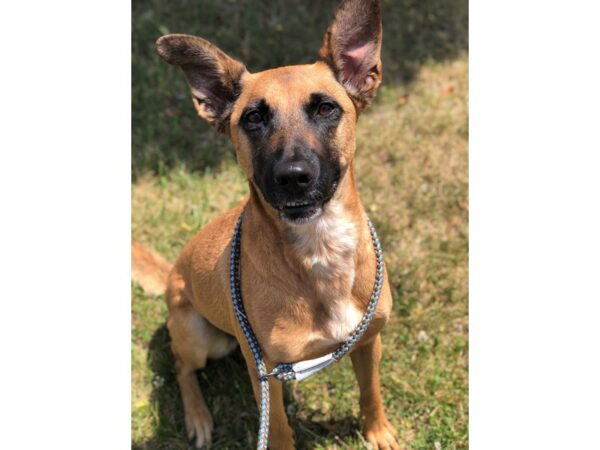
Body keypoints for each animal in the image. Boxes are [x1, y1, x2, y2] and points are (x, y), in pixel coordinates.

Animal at [134, 1, 400, 448]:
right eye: (254, 118)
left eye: (326, 108)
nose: (293, 177)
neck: (320, 248)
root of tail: (172, 273)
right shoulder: (266, 373)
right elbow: (277, 428)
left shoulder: (368, 340)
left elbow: (371, 392)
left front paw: (377, 431)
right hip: (201, 336)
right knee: (181, 366)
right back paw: (198, 417)